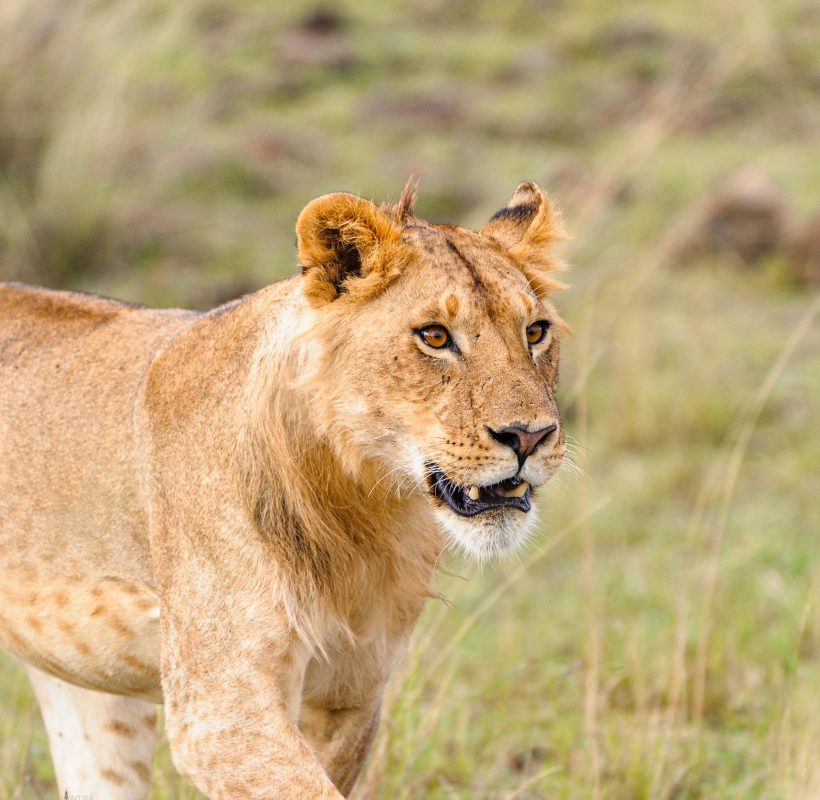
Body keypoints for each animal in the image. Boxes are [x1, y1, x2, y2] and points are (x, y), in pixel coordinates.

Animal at [0, 183, 568, 800]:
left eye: (535, 332)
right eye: (435, 337)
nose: (530, 436)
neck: (360, 508)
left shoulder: (350, 695)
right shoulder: (219, 713)